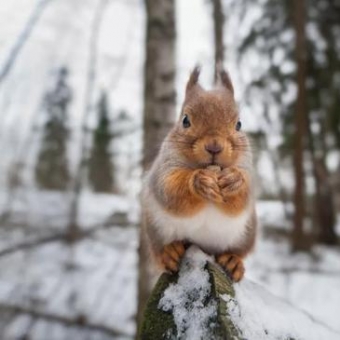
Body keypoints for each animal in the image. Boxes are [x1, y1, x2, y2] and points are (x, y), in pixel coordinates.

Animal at [142, 66, 256, 282]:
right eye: (185, 120)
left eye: (239, 124)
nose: (214, 147)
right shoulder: (165, 167)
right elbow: (170, 189)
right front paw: (199, 182)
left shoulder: (248, 169)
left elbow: (242, 197)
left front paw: (234, 180)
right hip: (154, 229)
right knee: (159, 251)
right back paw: (169, 252)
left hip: (246, 233)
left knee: (239, 251)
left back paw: (233, 260)